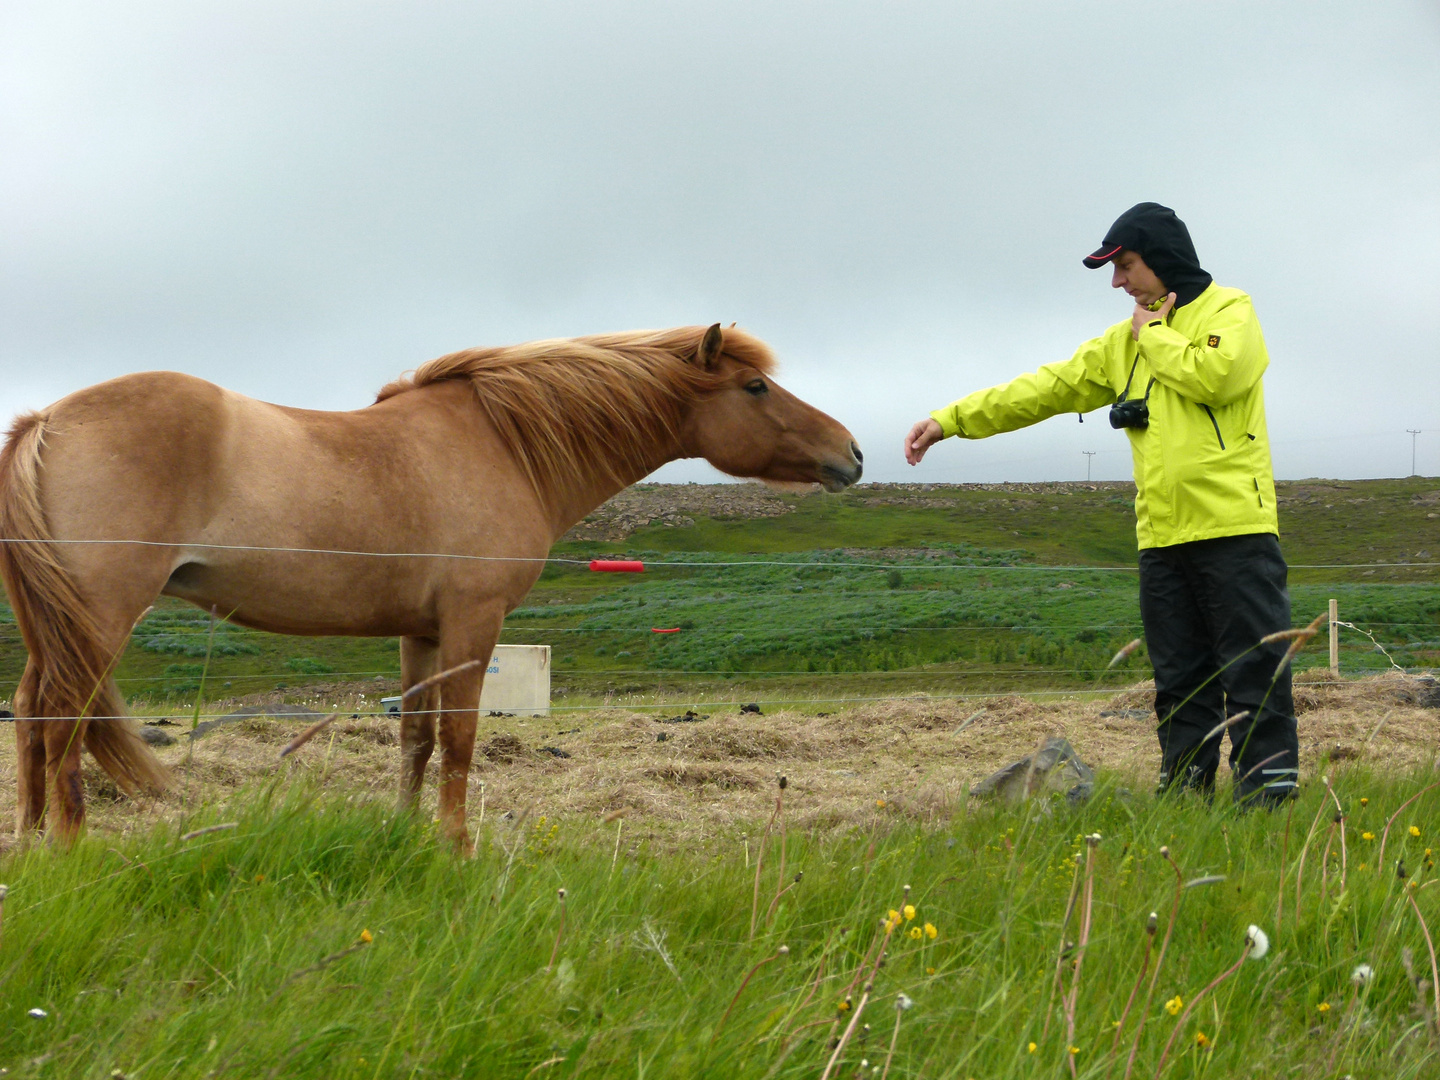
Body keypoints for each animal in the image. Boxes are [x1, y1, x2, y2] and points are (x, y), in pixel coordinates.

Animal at [0, 325, 852, 852]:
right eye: (754, 387)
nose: (852, 452)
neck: (505, 445)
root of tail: (48, 420)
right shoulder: (473, 623)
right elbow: (460, 737)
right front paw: (456, 846)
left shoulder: (421, 630)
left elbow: (414, 734)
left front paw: (404, 835)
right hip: (101, 615)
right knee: (62, 718)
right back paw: (70, 850)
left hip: (58, 624)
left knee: (31, 713)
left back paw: (31, 849)